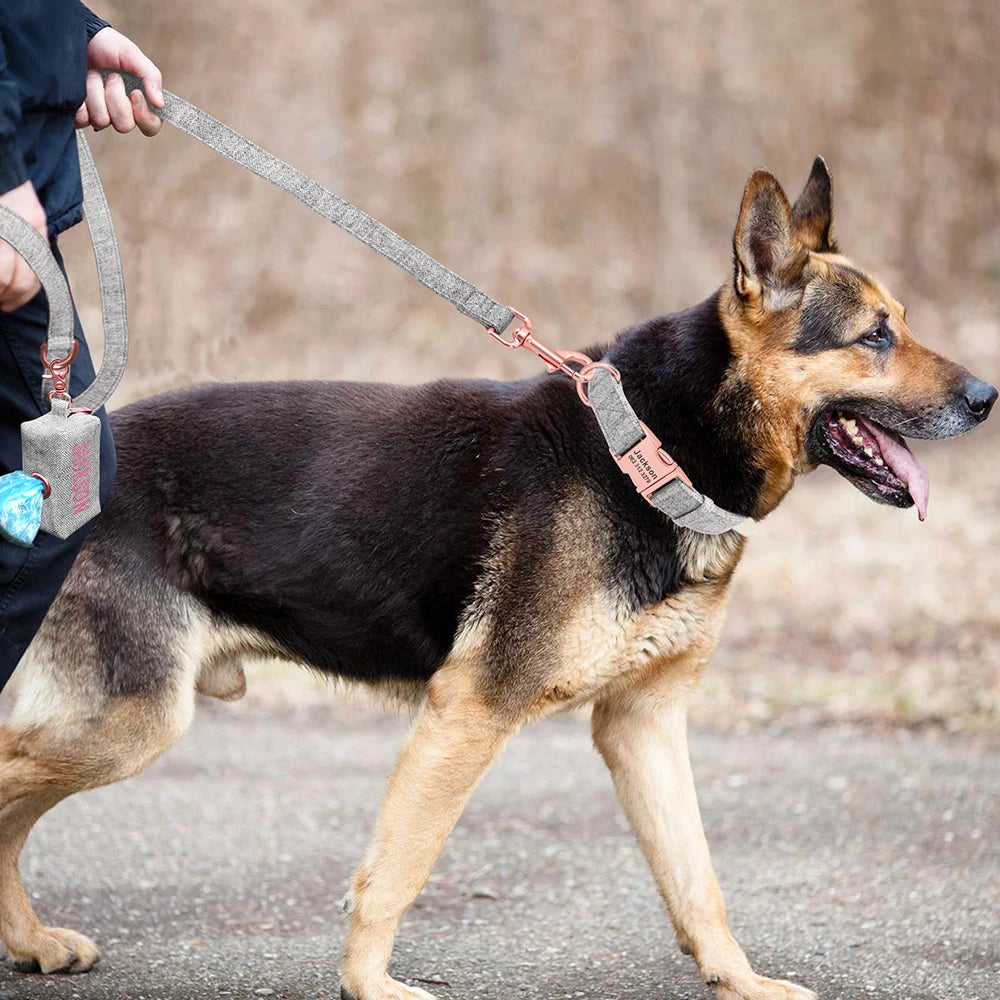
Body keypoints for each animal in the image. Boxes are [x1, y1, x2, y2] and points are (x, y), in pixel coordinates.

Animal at [3, 160, 996, 996]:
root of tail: (47, 476)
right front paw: (368, 986)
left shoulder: (643, 725)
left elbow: (697, 879)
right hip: (133, 721)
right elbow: (395, 872)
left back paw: (31, 942)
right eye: (874, 337)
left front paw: (739, 982)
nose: (987, 397)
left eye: (903, 325)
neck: (650, 448)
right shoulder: (470, 711)